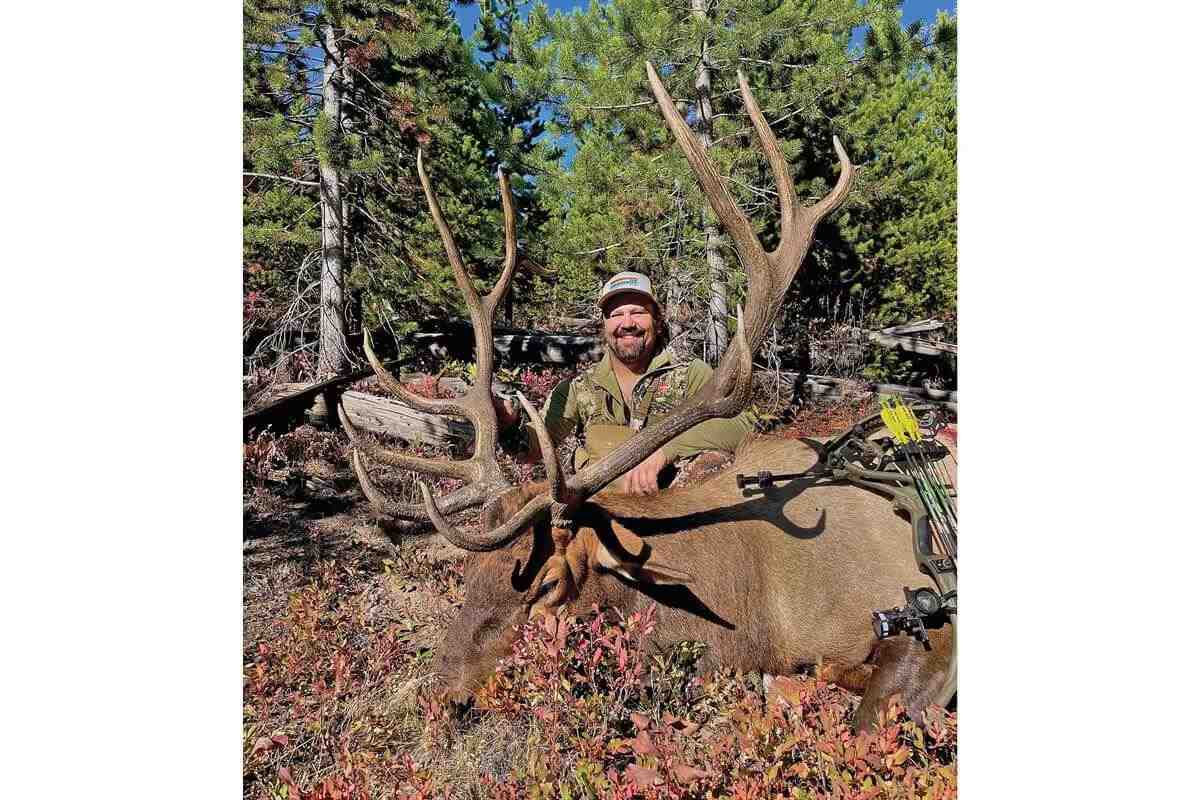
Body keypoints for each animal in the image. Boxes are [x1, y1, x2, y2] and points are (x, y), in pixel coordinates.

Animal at [338, 63, 956, 731]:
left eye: (547, 586)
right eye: (469, 575)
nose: (439, 694)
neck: (756, 612)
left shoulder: (926, 614)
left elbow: (869, 712)